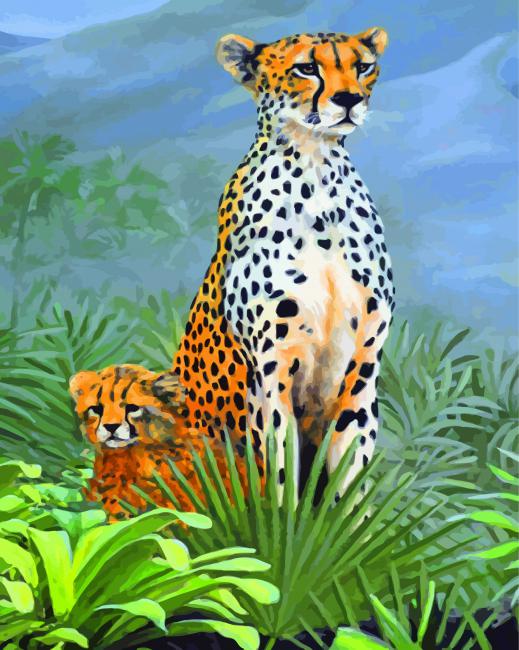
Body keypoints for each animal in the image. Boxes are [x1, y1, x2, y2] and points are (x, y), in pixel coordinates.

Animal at [172, 27, 395, 500]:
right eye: (306, 68)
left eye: (363, 66)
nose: (349, 99)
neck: (317, 174)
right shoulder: (270, 373)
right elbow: (279, 475)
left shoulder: (363, 374)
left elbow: (349, 481)